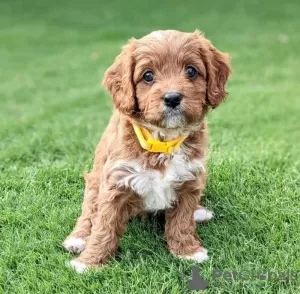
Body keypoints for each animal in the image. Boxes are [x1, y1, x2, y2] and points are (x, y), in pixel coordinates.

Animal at [63, 29, 232, 274]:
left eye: (191, 71)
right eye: (148, 76)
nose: (172, 98)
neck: (163, 139)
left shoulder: (190, 179)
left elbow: (182, 221)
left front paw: (187, 251)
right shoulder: (115, 182)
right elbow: (104, 226)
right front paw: (90, 262)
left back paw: (199, 212)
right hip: (94, 183)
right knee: (88, 213)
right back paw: (77, 239)